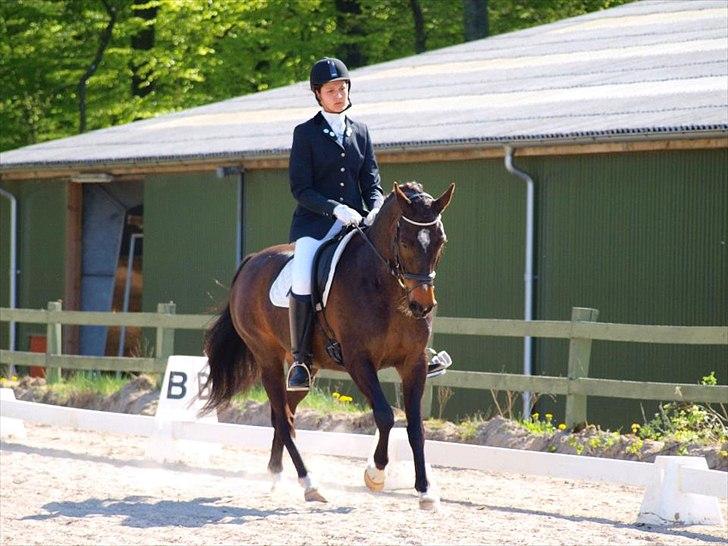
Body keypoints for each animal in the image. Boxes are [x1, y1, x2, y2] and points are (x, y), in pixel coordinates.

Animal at [201, 181, 454, 509]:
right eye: (406, 242)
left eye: (440, 242)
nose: (422, 306)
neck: (385, 287)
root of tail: (251, 261)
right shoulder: (359, 361)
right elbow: (385, 416)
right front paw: (375, 474)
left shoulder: (414, 363)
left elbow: (415, 427)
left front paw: (425, 491)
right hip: (267, 357)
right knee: (283, 418)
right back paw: (309, 483)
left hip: (307, 367)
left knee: (284, 413)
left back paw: (276, 474)